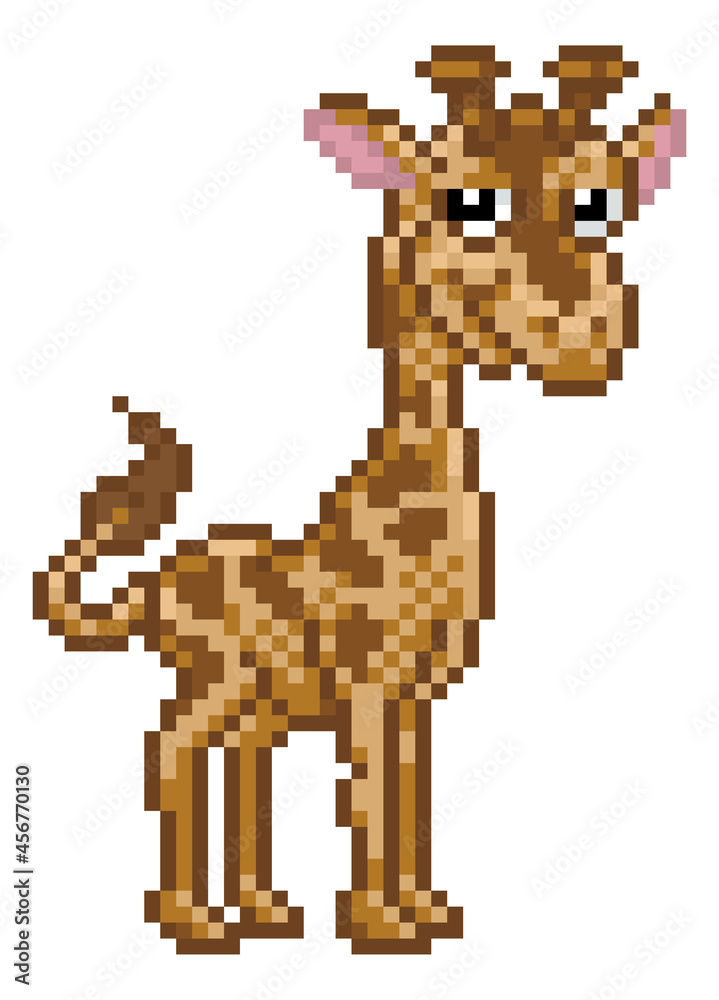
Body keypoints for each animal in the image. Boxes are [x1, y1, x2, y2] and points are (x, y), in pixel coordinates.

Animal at [34, 46, 685, 955]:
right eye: (465, 200)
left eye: (598, 202)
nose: (583, 338)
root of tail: (149, 588)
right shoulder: (371, 680)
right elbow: (369, 792)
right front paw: (381, 925)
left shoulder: (416, 691)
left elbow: (405, 790)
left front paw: (422, 912)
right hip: (218, 677)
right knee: (170, 748)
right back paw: (192, 921)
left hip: (261, 700)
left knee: (239, 757)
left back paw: (263, 912)